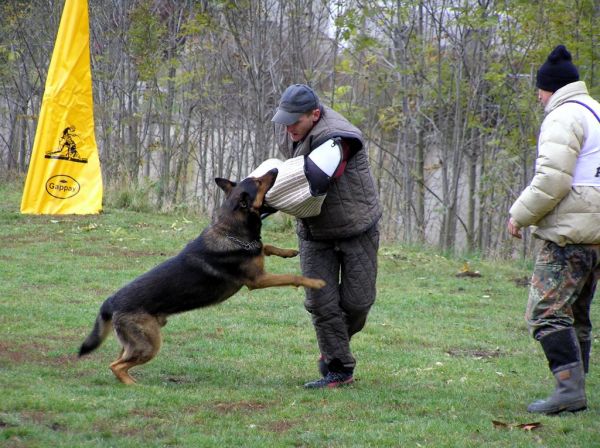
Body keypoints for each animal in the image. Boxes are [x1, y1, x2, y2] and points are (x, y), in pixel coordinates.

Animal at [79, 169, 326, 384]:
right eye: (258, 182)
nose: (275, 168)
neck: (232, 231)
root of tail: (111, 301)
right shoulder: (258, 280)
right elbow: (292, 276)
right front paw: (315, 282)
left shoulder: (257, 258)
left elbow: (266, 246)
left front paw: (288, 252)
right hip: (149, 345)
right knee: (115, 365)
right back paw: (135, 385)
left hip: (137, 342)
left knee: (119, 361)